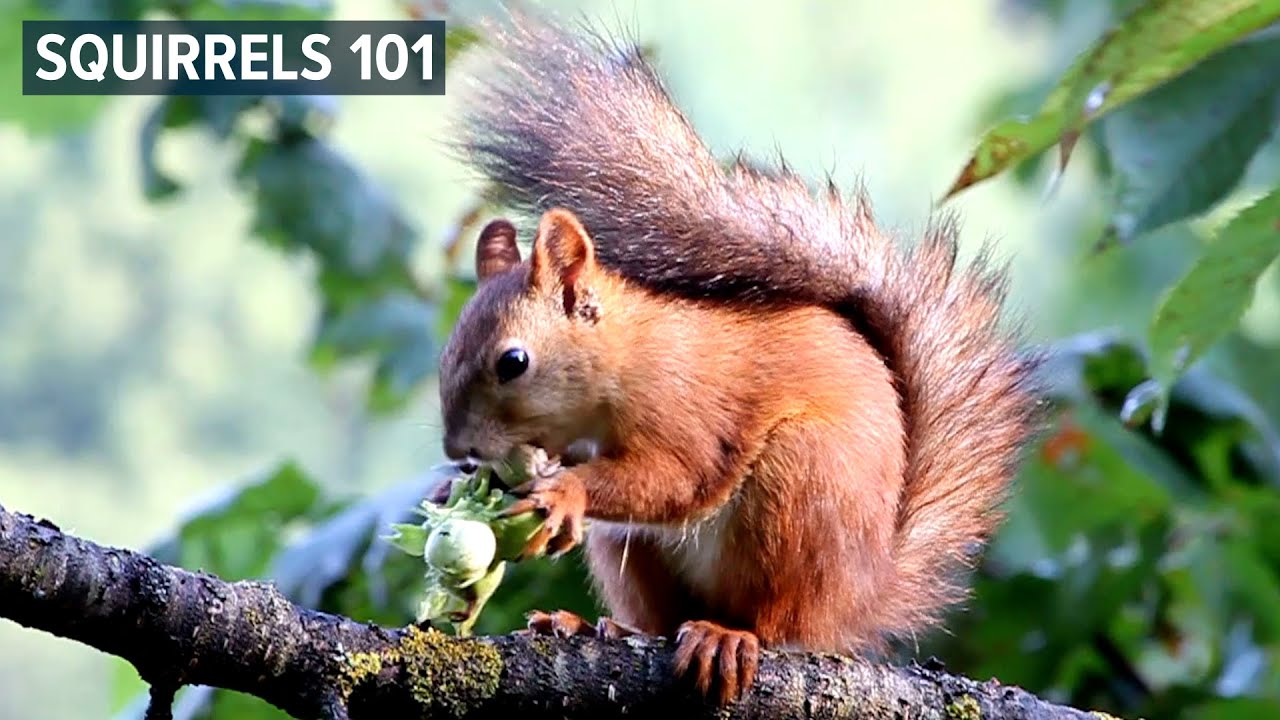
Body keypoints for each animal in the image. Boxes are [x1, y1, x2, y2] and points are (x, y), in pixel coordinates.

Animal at [436, 16, 1046, 705]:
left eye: (513, 361)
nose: (459, 452)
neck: (625, 357)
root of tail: (860, 597)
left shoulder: (687, 410)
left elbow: (677, 478)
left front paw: (564, 491)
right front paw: (458, 489)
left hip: (802, 484)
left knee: (779, 621)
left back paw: (730, 636)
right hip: (632, 549)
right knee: (659, 617)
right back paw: (595, 626)